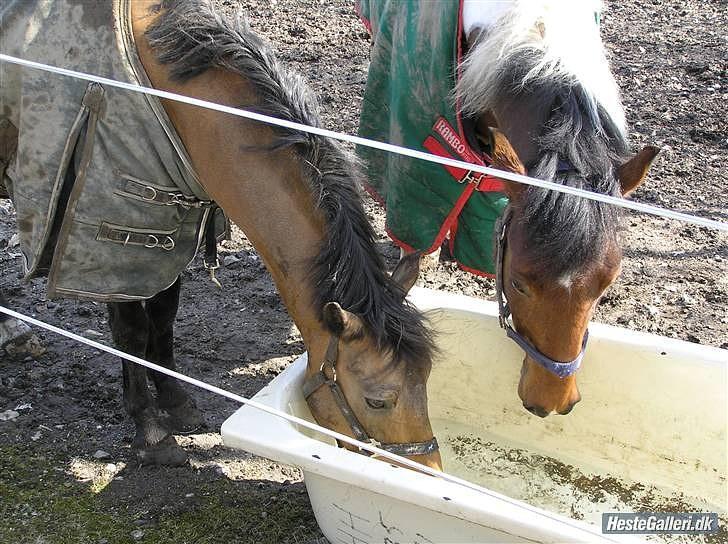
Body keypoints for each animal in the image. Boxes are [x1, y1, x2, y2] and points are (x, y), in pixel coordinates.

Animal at [1, 0, 444, 468]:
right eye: (379, 400)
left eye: (426, 381)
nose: (432, 470)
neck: (171, 100)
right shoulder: (112, 236)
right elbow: (132, 332)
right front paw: (150, 427)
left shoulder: (167, 230)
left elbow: (164, 314)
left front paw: (176, 402)